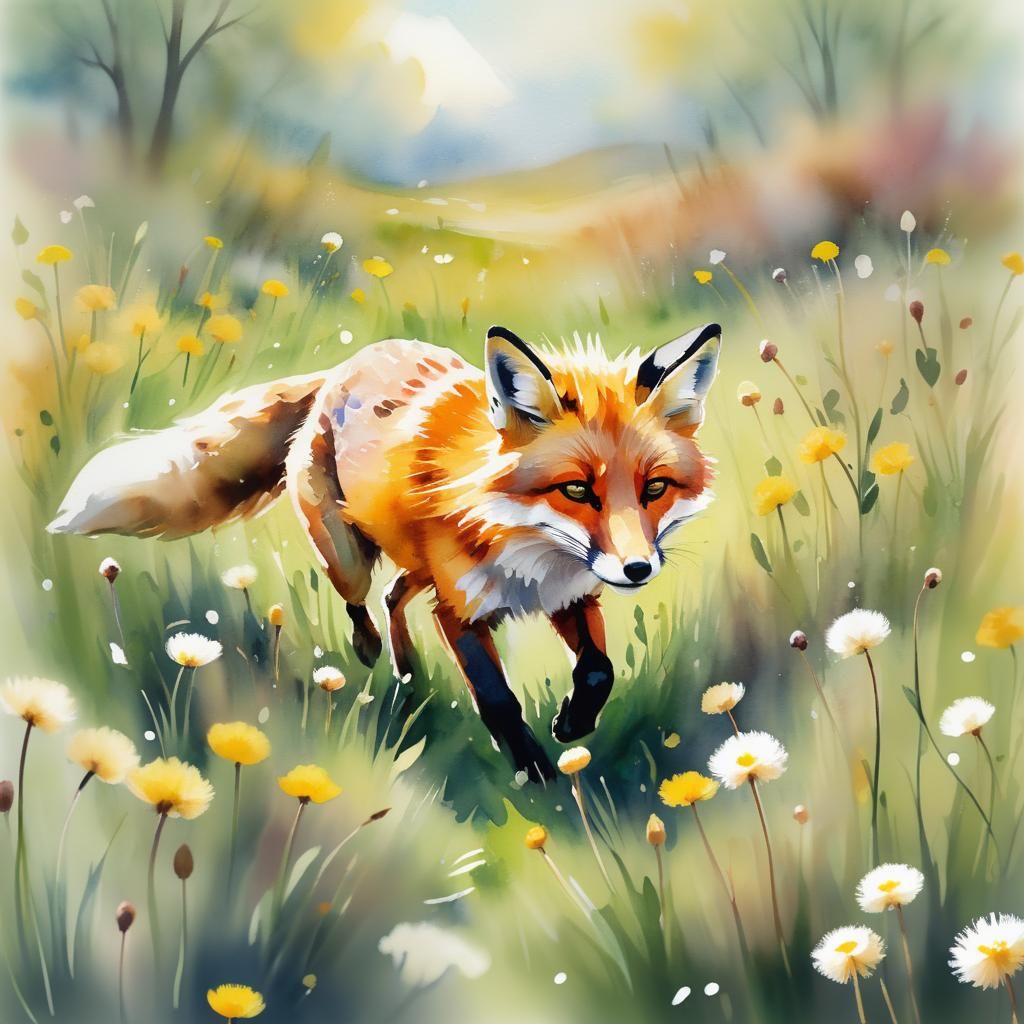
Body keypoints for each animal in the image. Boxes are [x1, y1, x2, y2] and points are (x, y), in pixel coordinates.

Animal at [49, 322, 722, 780]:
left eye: (655, 488)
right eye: (577, 489)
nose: (638, 568)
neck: (526, 547)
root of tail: (340, 368)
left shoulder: (572, 595)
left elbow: (598, 669)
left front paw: (573, 722)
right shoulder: (461, 613)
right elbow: (498, 699)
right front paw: (534, 771)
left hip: (418, 566)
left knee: (397, 594)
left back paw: (405, 667)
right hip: (349, 555)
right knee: (362, 598)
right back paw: (372, 650)